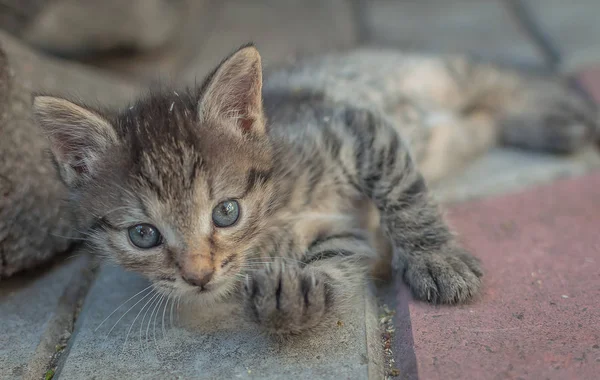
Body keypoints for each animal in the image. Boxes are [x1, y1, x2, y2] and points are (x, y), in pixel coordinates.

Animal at [32, 45, 596, 336]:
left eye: (226, 212)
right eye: (144, 236)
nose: (198, 276)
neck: (274, 212)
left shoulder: (357, 126)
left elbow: (404, 195)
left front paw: (438, 259)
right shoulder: (341, 226)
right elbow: (336, 254)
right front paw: (296, 293)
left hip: (438, 73)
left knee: (499, 78)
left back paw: (560, 115)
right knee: (487, 115)